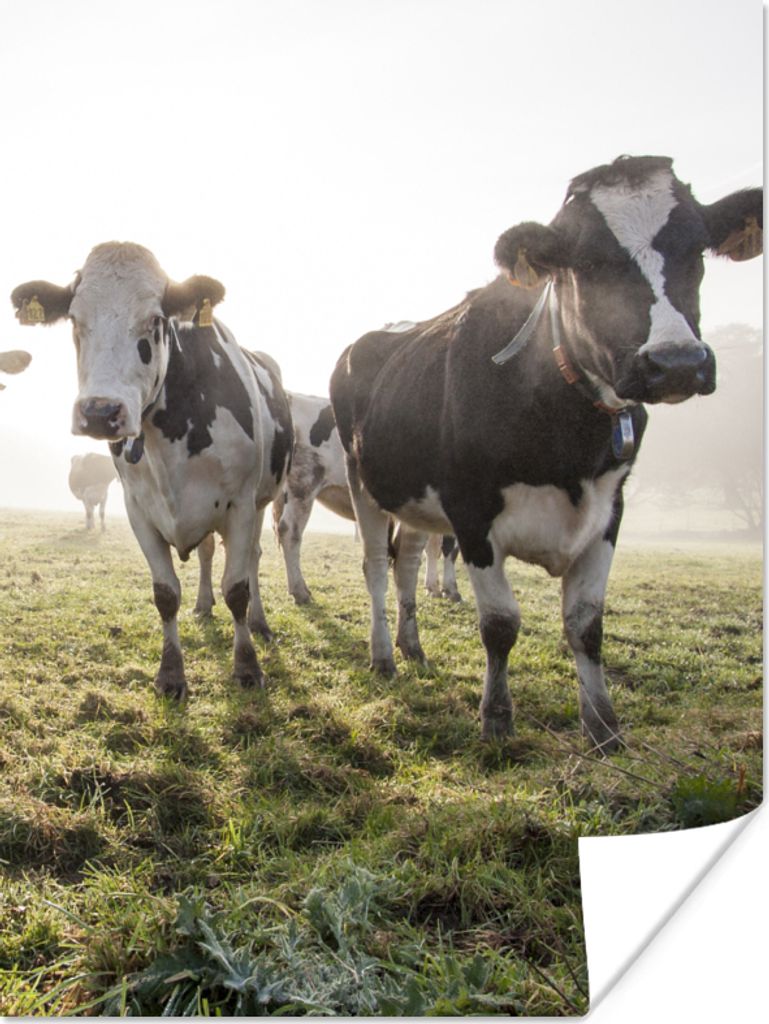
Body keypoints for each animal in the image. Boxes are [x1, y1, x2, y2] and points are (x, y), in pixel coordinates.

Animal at [11, 242, 293, 698]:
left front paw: (247, 667)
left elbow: (237, 589)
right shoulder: (138, 509)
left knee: (251, 559)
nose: (100, 412)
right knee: (207, 553)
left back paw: (259, 623)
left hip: (263, 500)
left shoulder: (241, 503)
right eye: (74, 320)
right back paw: (203, 605)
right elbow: (165, 594)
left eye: (155, 319)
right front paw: (171, 674)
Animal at [270, 390, 461, 604]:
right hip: (303, 484)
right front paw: (451, 590)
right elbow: (449, 549)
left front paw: (433, 587)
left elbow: (432, 547)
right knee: (289, 531)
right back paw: (300, 591)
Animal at [330, 155, 762, 754]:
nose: (676, 362)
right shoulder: (471, 511)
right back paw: (383, 657)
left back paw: (412, 647)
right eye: (588, 261)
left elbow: (586, 624)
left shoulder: (610, 509)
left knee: (407, 564)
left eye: (697, 249)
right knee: (375, 566)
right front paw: (496, 720)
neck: (566, 436)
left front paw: (603, 726)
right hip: (364, 483)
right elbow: (500, 625)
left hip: (416, 499)